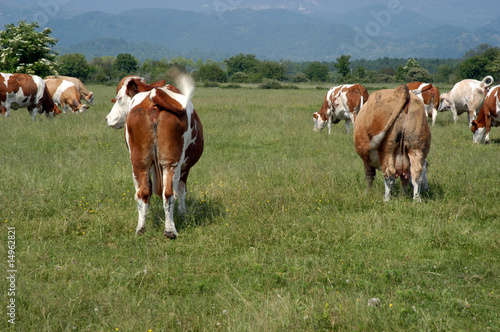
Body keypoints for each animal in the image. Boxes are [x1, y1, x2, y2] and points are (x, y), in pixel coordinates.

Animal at [106, 74, 203, 239]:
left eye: (119, 98)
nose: (108, 118)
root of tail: (153, 95)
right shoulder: (184, 167)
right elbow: (181, 190)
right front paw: (182, 213)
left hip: (139, 161)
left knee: (144, 192)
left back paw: (142, 228)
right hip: (171, 162)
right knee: (168, 193)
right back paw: (170, 230)